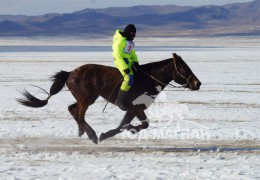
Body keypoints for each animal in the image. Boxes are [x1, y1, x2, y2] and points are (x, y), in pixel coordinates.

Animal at [17, 53, 201, 143]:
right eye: (184, 68)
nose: (197, 83)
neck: (148, 78)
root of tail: (69, 73)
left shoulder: (137, 109)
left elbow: (140, 124)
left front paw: (128, 130)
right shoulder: (134, 108)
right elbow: (127, 125)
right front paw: (106, 134)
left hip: (88, 98)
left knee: (72, 109)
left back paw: (82, 131)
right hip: (87, 98)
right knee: (79, 114)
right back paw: (91, 135)